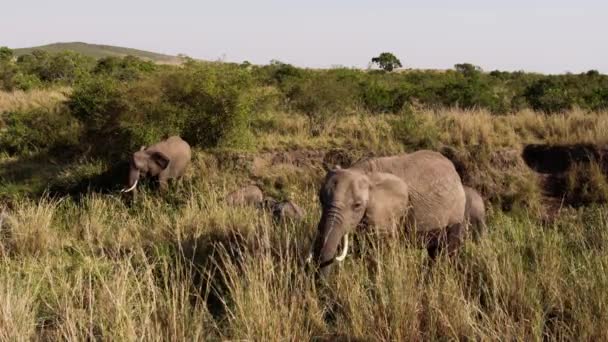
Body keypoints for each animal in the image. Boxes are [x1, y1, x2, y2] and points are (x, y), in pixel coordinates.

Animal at [308, 150, 466, 278]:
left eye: (357, 206)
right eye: (321, 199)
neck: (363, 172)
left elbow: (381, 249)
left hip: (456, 212)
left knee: (446, 251)